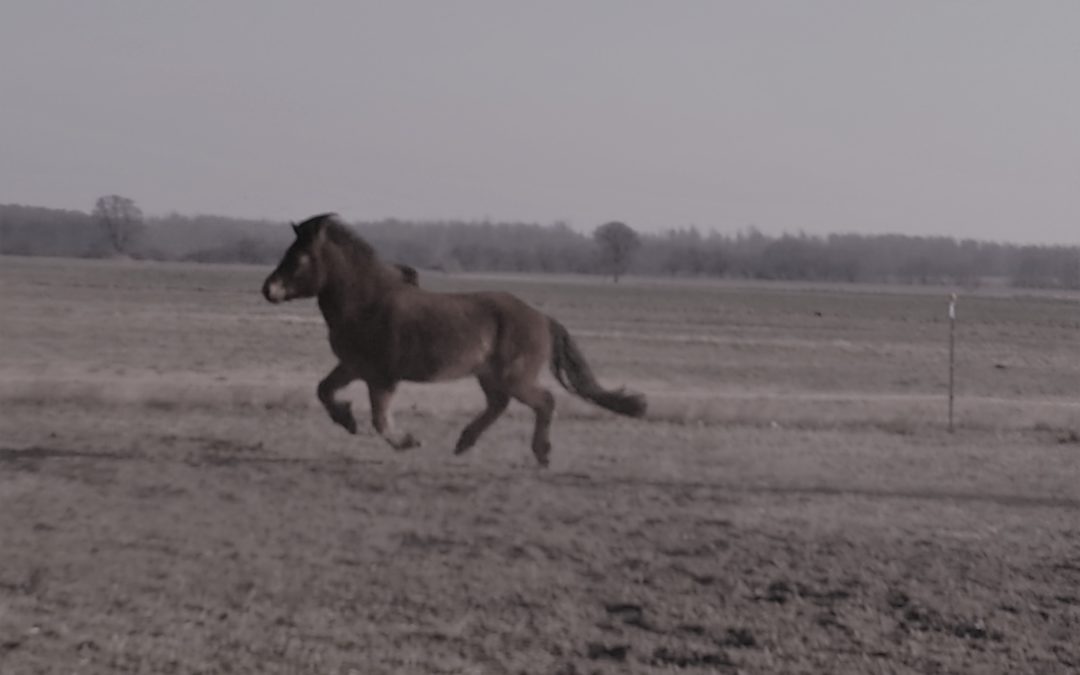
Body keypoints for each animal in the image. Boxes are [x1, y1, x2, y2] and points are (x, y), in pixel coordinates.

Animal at [261, 212, 643, 466]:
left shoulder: (381, 376)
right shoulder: (353, 366)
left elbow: (381, 419)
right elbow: (324, 390)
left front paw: (408, 441)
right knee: (498, 405)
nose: (268, 289)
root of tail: (542, 319)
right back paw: (464, 442)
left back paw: (541, 454)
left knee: (544, 402)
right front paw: (347, 419)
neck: (366, 302)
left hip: (515, 377)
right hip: (489, 376)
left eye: (299, 256)